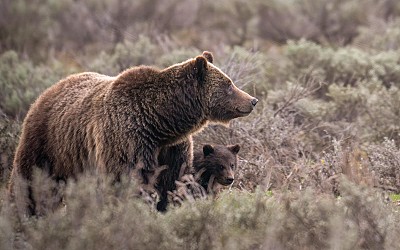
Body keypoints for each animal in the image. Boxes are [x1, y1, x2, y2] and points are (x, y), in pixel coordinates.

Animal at [10, 50, 260, 215]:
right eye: (228, 84)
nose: (252, 100)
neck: (161, 123)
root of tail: (49, 90)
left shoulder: (172, 149)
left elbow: (172, 182)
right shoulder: (128, 140)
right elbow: (129, 181)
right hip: (46, 142)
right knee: (29, 181)